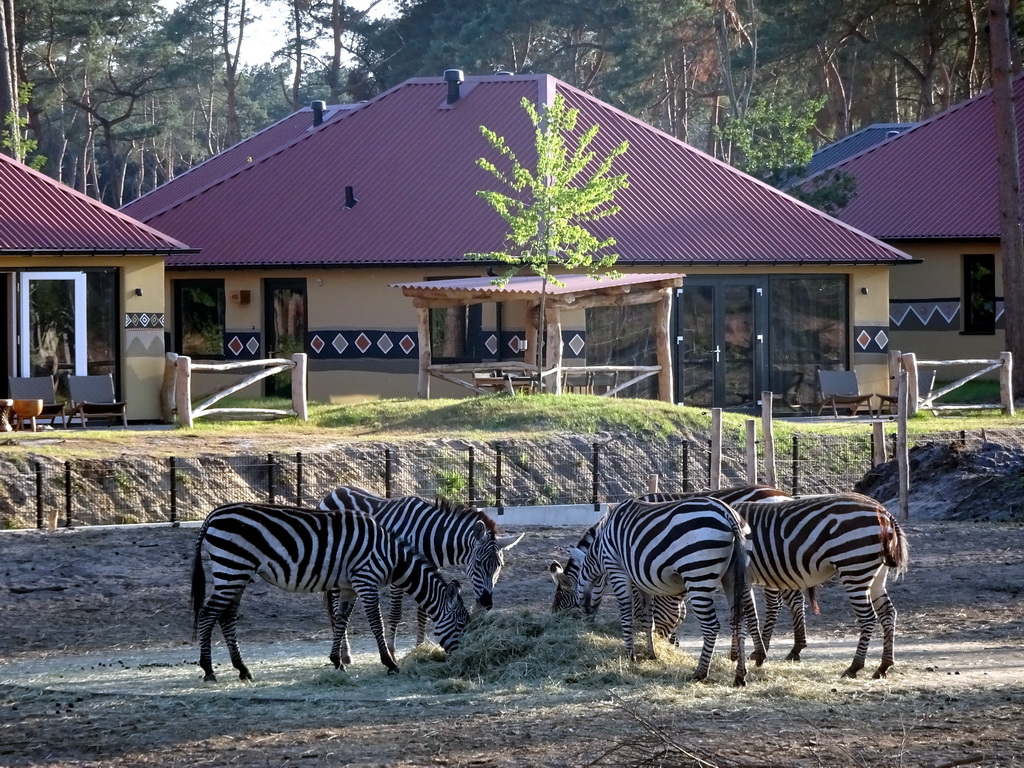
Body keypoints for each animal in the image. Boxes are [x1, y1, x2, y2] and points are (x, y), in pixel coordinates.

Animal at [192, 505, 471, 679]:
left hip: (237, 573)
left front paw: (337, 661)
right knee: (207, 614)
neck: (391, 556)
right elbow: (376, 624)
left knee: (226, 617)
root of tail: (213, 514)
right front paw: (390, 663)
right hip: (232, 568)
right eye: (461, 622)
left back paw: (242, 669)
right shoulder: (366, 580)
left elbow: (340, 620)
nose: (460, 657)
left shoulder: (349, 586)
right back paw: (208, 670)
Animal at [317, 487, 524, 651]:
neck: (431, 537)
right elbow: (396, 613)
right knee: (335, 607)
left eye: (498, 566)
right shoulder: (400, 572)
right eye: (479, 563)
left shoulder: (426, 570)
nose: (487, 603)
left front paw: (419, 647)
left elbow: (423, 613)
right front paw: (391, 650)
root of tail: (332, 492)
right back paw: (345, 652)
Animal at [569, 495, 761, 688]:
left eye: (574, 588)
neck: (600, 549)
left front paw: (629, 655)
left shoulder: (618, 570)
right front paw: (651, 653)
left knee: (711, 626)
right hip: (735, 575)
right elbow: (648, 620)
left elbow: (626, 615)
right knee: (740, 621)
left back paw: (699, 673)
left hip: (698, 574)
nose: (584, 621)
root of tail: (728, 513)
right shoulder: (643, 582)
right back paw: (740, 676)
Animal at [737, 493, 913, 679]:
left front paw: (754, 656)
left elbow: (745, 616)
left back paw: (854, 667)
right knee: (888, 612)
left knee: (868, 618)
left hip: (854, 567)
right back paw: (883, 666)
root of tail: (884, 512)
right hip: (876, 573)